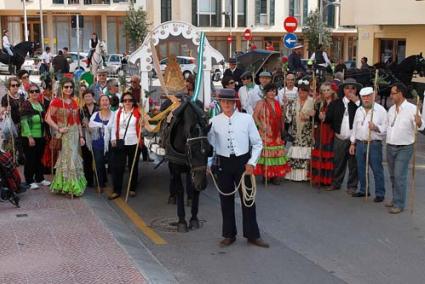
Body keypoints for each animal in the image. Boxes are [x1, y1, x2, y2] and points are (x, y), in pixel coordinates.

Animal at [161, 98, 210, 232]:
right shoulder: (176, 165)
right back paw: (172, 196)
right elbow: (180, 189)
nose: (202, 184)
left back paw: (190, 198)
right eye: (192, 151)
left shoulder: (195, 171)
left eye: (210, 150)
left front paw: (194, 218)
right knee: (172, 176)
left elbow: (194, 188)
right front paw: (182, 221)